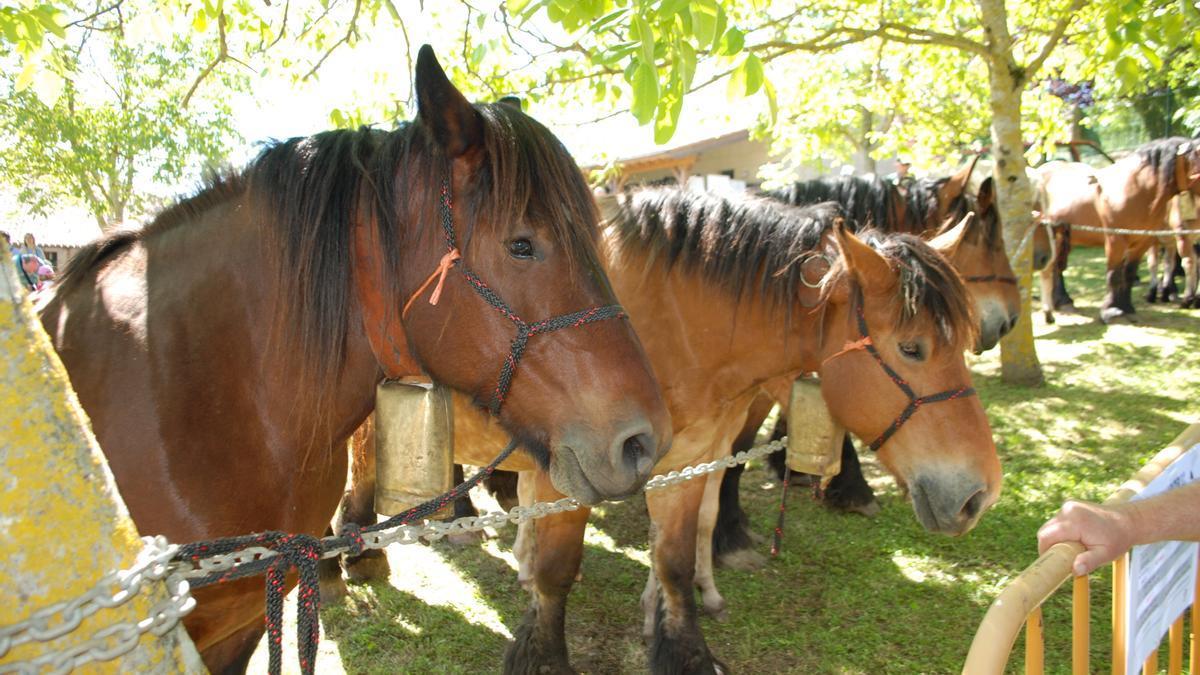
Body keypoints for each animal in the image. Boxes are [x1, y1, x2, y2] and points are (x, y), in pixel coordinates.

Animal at [328, 187, 1002, 673]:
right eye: (911, 348)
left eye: (960, 341)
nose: (980, 493)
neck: (672, 323)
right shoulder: (576, 473)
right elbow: (556, 573)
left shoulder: (692, 459)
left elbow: (675, 558)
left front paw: (683, 647)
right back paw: (357, 555)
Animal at [1034, 137, 1200, 323]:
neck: (1134, 188)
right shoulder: (1115, 240)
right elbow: (1113, 275)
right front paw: (1110, 310)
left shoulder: (1143, 241)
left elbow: (1128, 273)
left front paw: (1126, 307)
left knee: (1055, 267)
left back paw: (1062, 301)